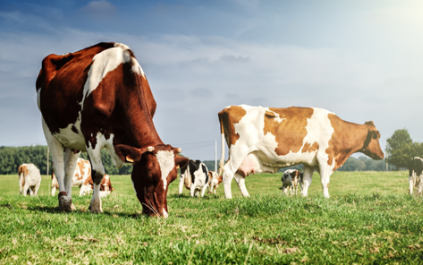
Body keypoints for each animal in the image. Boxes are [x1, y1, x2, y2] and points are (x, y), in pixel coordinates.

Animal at [36, 40, 189, 214]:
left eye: (172, 178)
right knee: (58, 165)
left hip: (73, 138)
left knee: (69, 168)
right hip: (48, 127)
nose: (162, 214)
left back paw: (70, 202)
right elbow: (98, 173)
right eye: (150, 175)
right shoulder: (91, 135)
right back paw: (63, 201)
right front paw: (96, 206)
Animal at [217, 105, 386, 198]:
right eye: (377, 136)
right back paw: (229, 198)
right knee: (228, 172)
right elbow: (325, 181)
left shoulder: (309, 162)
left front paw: (304, 197)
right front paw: (327, 197)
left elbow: (306, 182)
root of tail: (228, 108)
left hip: (243, 155)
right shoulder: (325, 157)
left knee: (238, 176)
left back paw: (246, 196)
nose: (382, 154)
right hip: (239, 150)